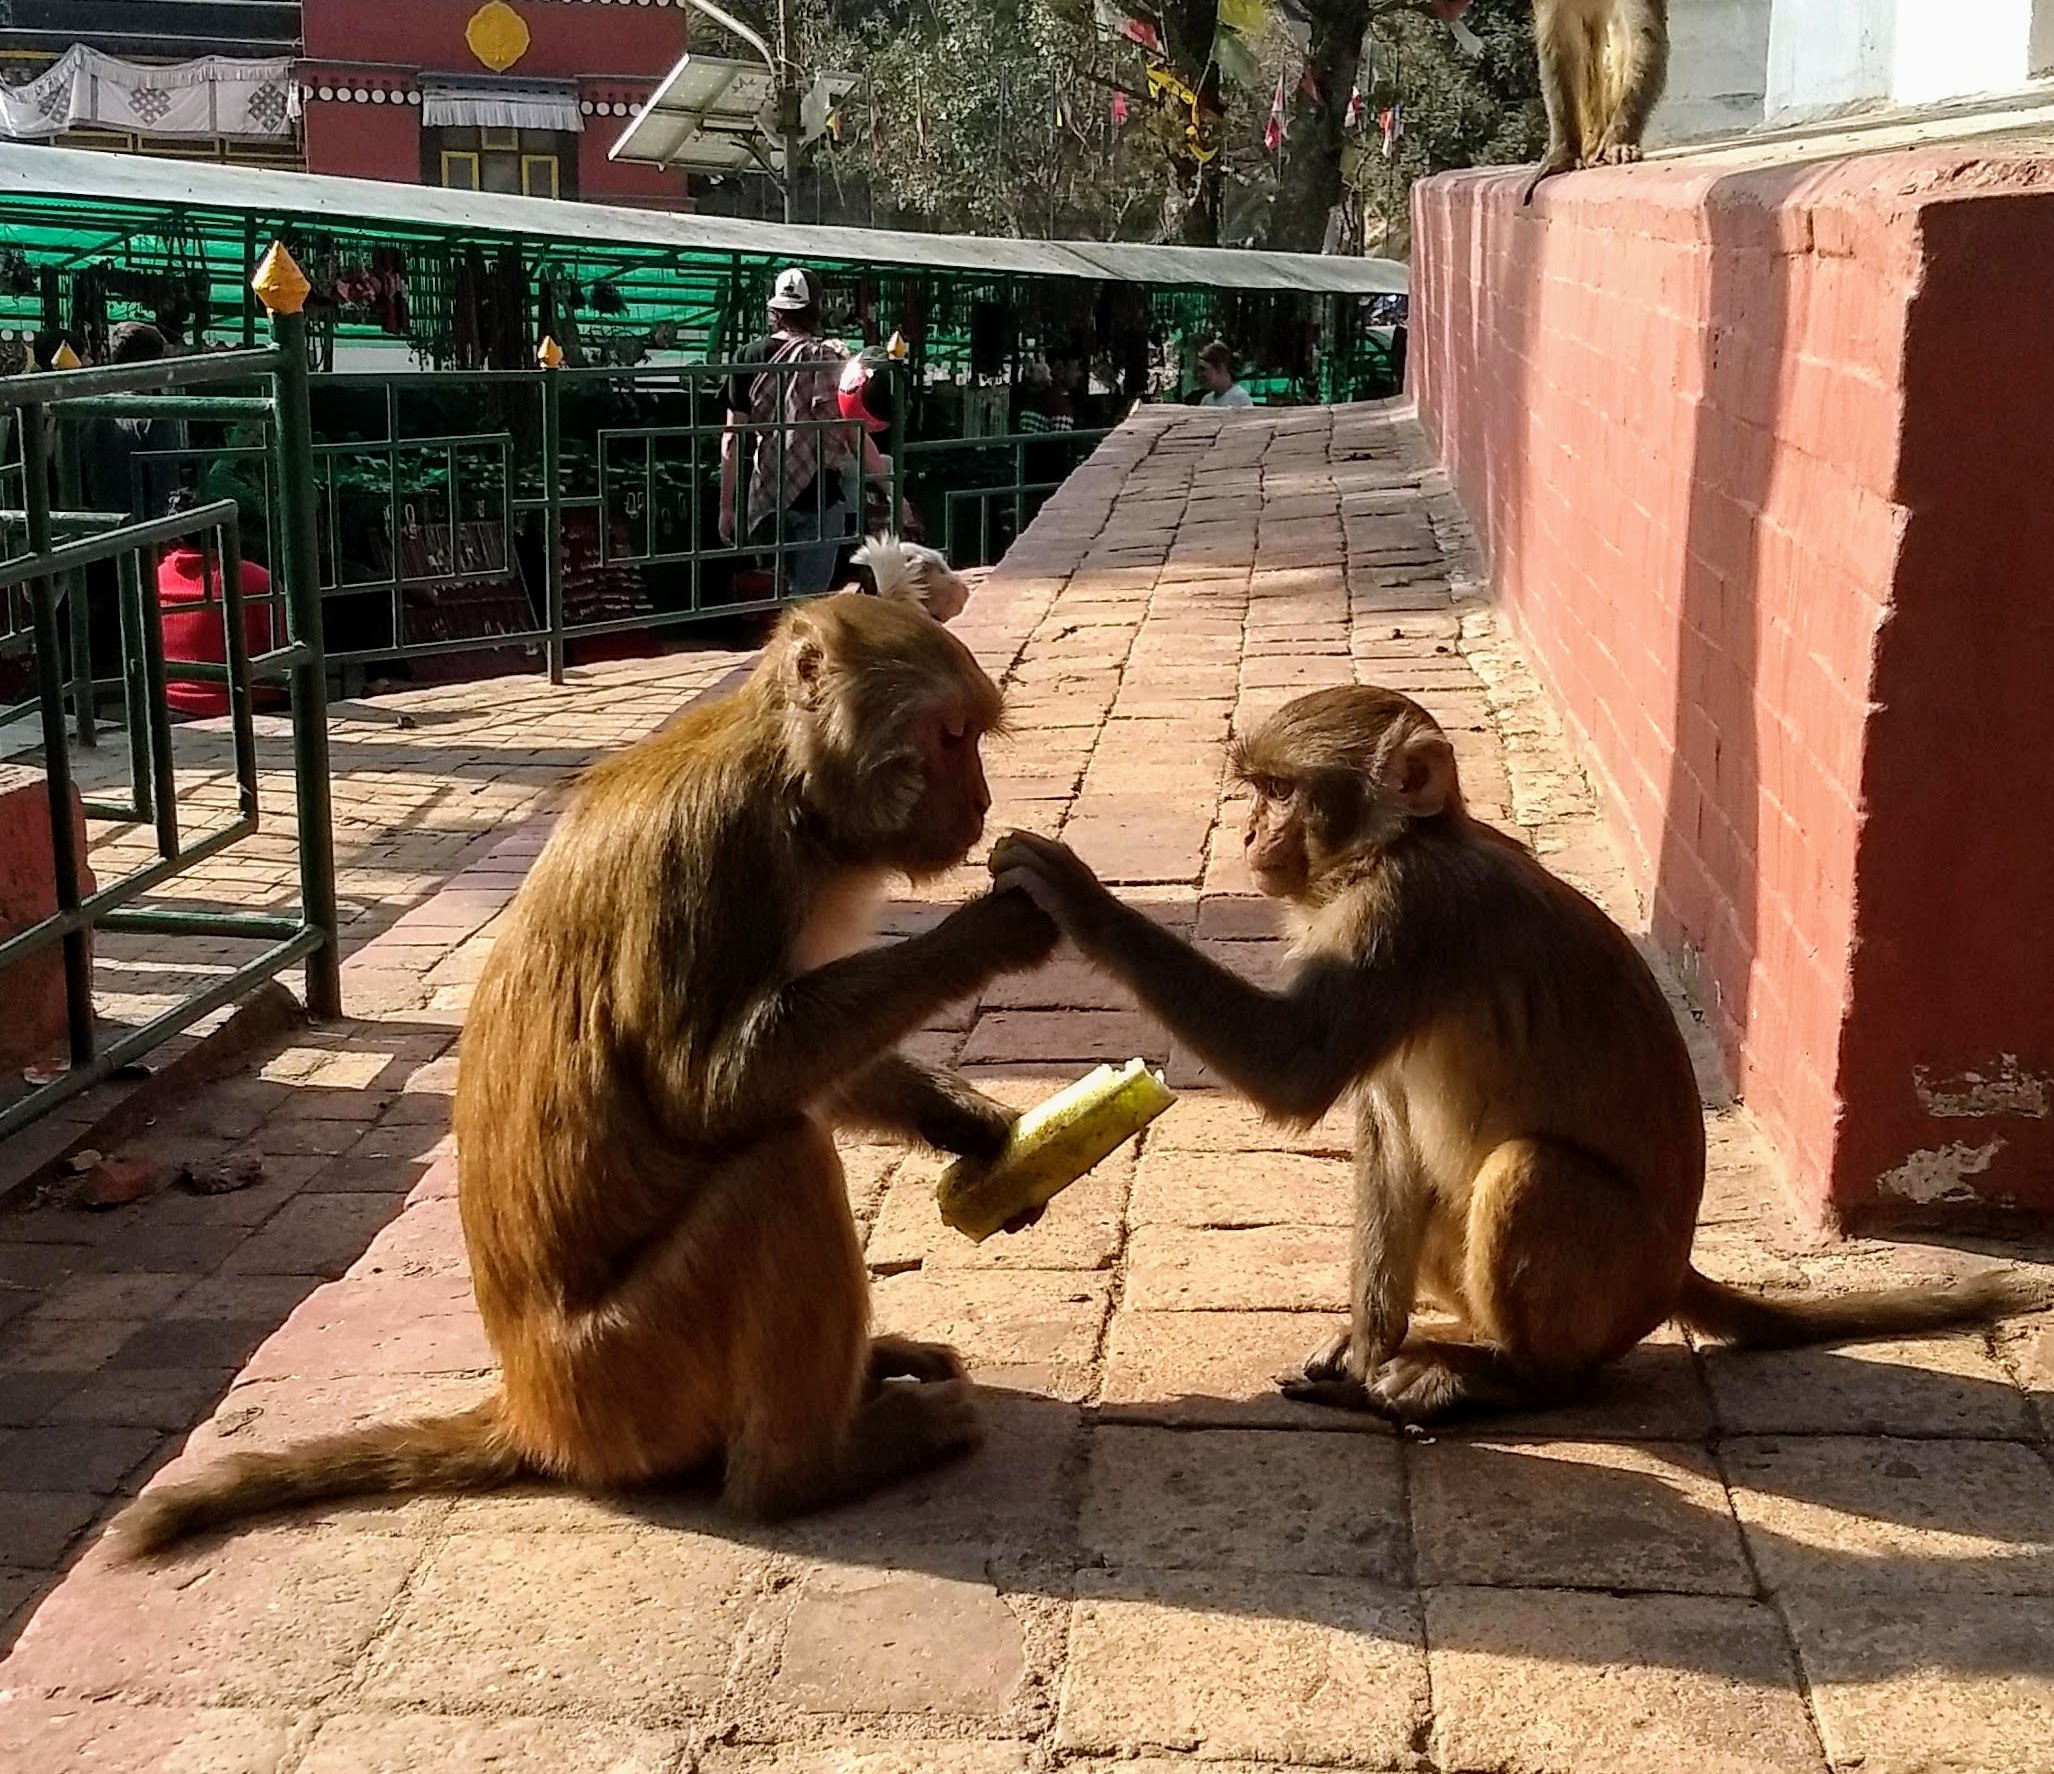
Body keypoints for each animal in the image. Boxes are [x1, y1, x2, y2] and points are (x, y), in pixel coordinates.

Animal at [116, 593, 1059, 1556]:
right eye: (951, 736)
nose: (981, 802)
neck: (791, 788)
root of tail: (535, 1414)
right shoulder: (718, 852)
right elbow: (712, 1091)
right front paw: (992, 931)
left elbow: (798, 1078)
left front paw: (975, 1127)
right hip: (631, 1373)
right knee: (777, 1165)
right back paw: (808, 1474)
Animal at [989, 685, 2050, 1424]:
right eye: (1254, 792)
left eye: (1281, 790)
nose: (1251, 831)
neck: (1394, 849)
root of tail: (1673, 1274)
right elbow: (1384, 1136)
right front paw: (1362, 1349)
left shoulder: (1406, 919)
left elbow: (1300, 1066)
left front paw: (1079, 902)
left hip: (1612, 1288)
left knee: (1528, 1172)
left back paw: (1514, 1382)